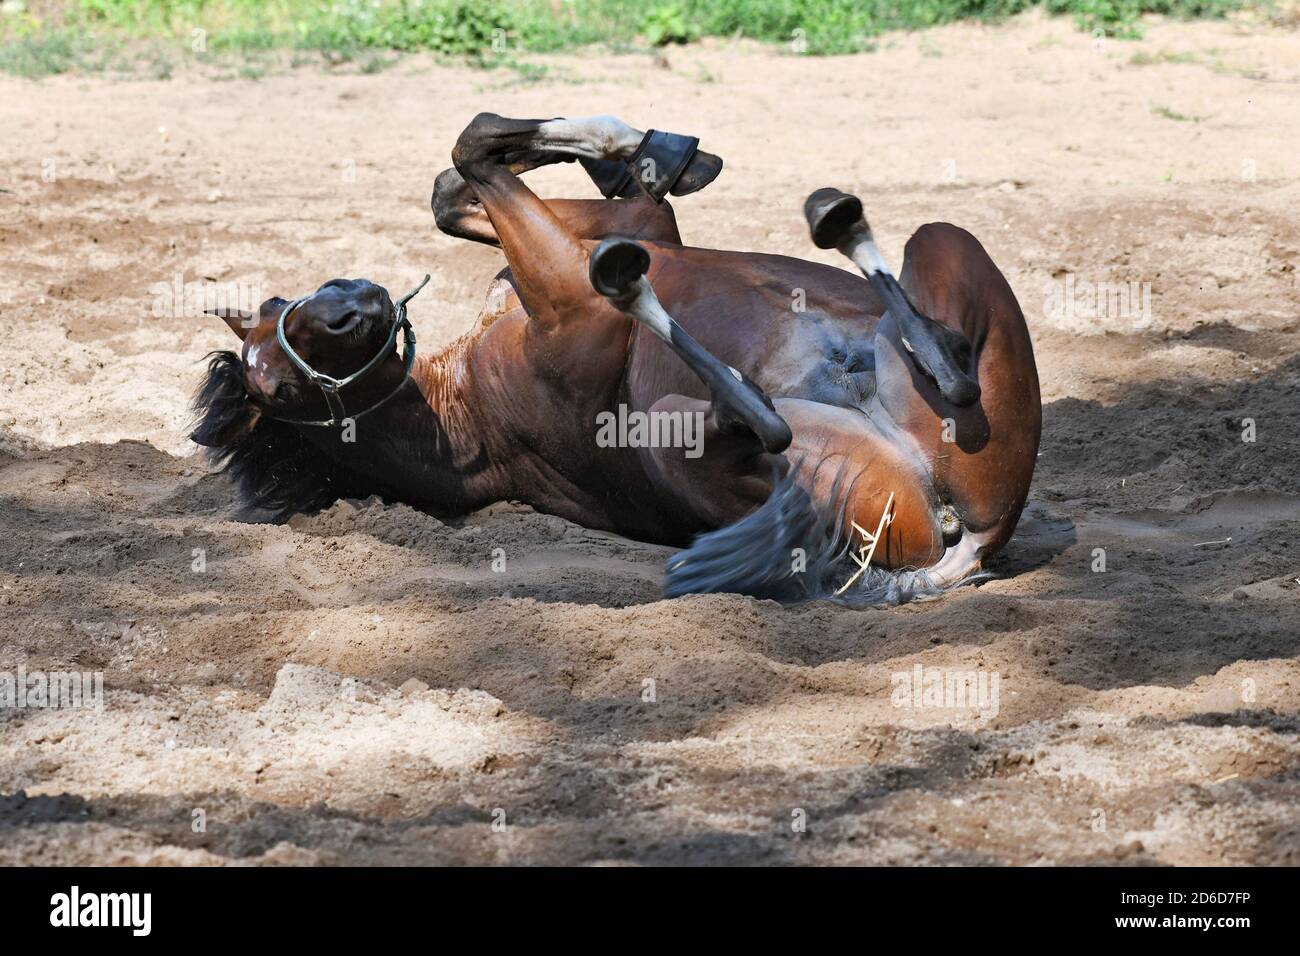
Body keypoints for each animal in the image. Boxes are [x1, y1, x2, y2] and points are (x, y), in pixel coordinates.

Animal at [192, 113, 1041, 604]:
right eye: (276, 386)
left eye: (276, 303)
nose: (352, 302)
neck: (468, 407)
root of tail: (968, 537)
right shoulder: (575, 295)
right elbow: (473, 145)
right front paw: (641, 153)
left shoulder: (630, 232)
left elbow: (455, 184)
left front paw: (653, 152)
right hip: (686, 431)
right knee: (782, 417)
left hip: (943, 241)